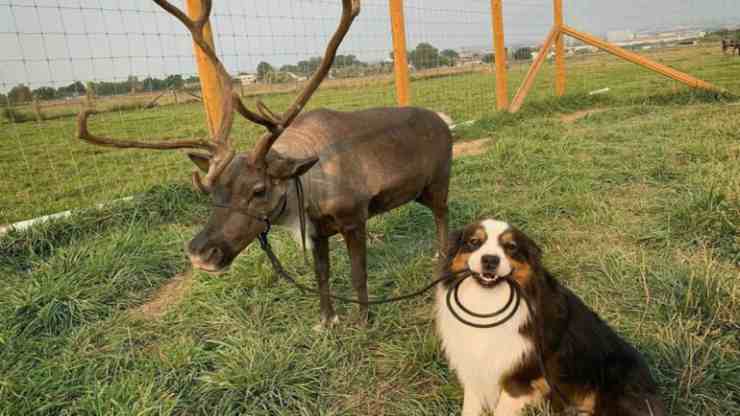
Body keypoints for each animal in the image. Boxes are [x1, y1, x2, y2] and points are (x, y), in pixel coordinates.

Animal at [434, 219, 664, 414]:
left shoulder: (519, 380)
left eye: (511, 247)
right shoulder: (475, 367)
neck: (488, 301)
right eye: (474, 242)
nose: (490, 260)